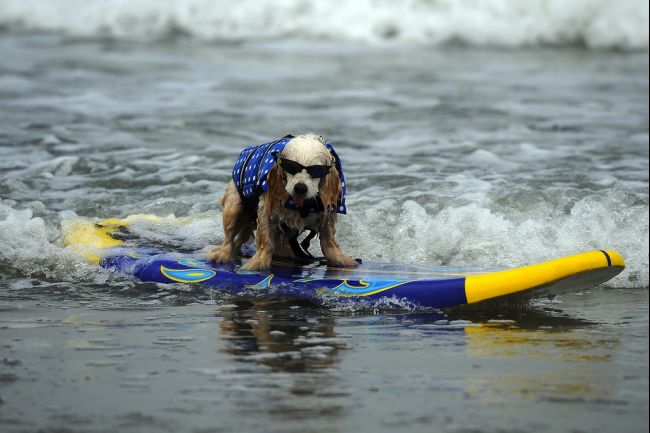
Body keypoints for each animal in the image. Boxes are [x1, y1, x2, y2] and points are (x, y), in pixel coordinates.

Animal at [208, 132, 356, 270]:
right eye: (291, 167)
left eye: (317, 171)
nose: (300, 188)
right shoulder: (266, 209)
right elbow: (265, 239)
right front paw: (259, 261)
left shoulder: (327, 213)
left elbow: (328, 241)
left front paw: (340, 259)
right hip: (234, 205)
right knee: (229, 239)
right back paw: (222, 254)